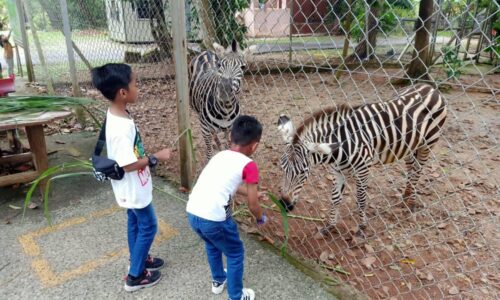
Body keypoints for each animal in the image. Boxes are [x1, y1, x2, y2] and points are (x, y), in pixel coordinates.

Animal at [280, 83, 448, 233]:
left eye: (303, 172)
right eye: (282, 169)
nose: (284, 205)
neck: (340, 147)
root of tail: (430, 87)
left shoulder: (363, 170)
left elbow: (360, 199)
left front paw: (362, 226)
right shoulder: (337, 171)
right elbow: (335, 198)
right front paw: (330, 226)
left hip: (428, 143)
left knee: (418, 169)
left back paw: (411, 202)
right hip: (409, 145)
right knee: (411, 167)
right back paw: (406, 194)